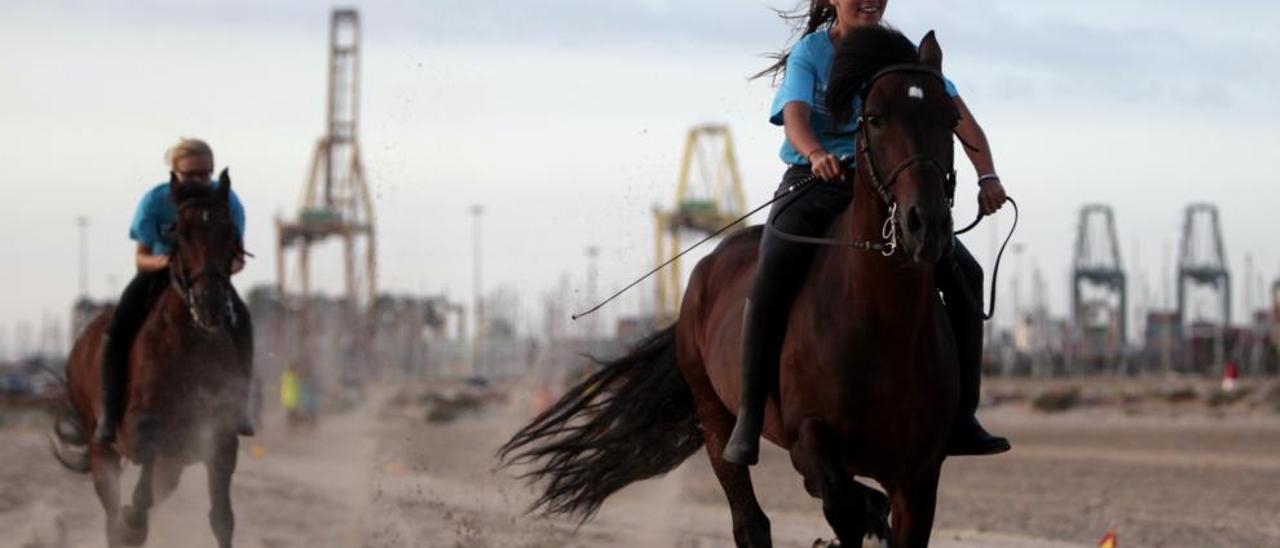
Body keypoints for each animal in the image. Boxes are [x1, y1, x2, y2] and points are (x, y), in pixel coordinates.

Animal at [51, 169, 249, 545]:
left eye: (230, 231)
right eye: (178, 233)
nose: (211, 304)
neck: (189, 343)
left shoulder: (219, 440)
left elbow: (222, 518)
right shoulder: (139, 431)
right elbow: (142, 485)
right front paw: (133, 522)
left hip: (174, 463)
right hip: (102, 449)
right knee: (113, 510)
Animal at [504, 29, 962, 548]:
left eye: (950, 118)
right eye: (876, 117)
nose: (926, 224)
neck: (882, 321)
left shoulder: (919, 475)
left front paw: (872, 515)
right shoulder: (811, 438)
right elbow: (839, 503)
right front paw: (858, 517)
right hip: (715, 417)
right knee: (751, 520)